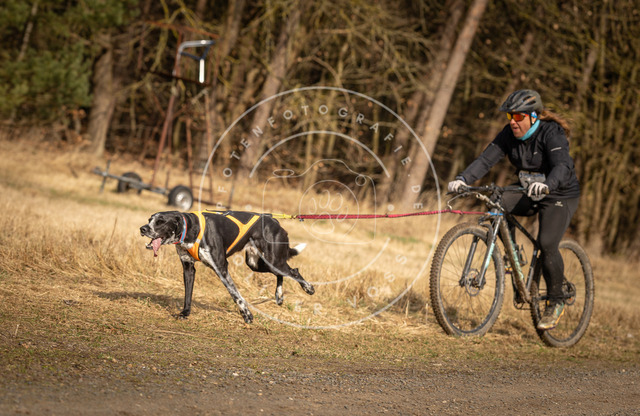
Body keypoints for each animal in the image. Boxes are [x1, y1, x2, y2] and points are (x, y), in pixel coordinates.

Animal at [140, 210, 315, 323]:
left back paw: (308, 288)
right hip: (255, 264)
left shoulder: (221, 268)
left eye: (161, 222)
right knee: (282, 273)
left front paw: (247, 315)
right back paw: (279, 296)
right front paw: (185, 313)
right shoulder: (188, 269)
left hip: (273, 261)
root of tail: (275, 221)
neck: (190, 228)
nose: (142, 228)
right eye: (149, 220)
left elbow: (235, 294)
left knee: (293, 271)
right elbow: (188, 294)